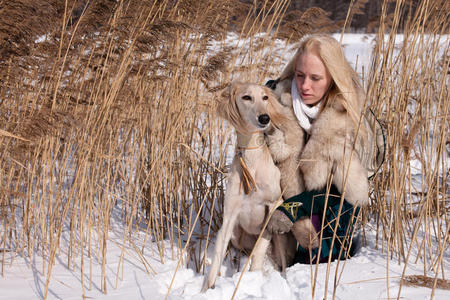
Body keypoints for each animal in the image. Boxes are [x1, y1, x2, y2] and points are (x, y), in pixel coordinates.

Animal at [202, 82, 290, 292]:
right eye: (246, 97)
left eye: (265, 97)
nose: (264, 118)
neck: (252, 162)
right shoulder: (229, 216)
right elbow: (217, 254)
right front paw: (207, 288)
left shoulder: (273, 207)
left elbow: (260, 249)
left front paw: (253, 276)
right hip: (236, 234)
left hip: (281, 235)